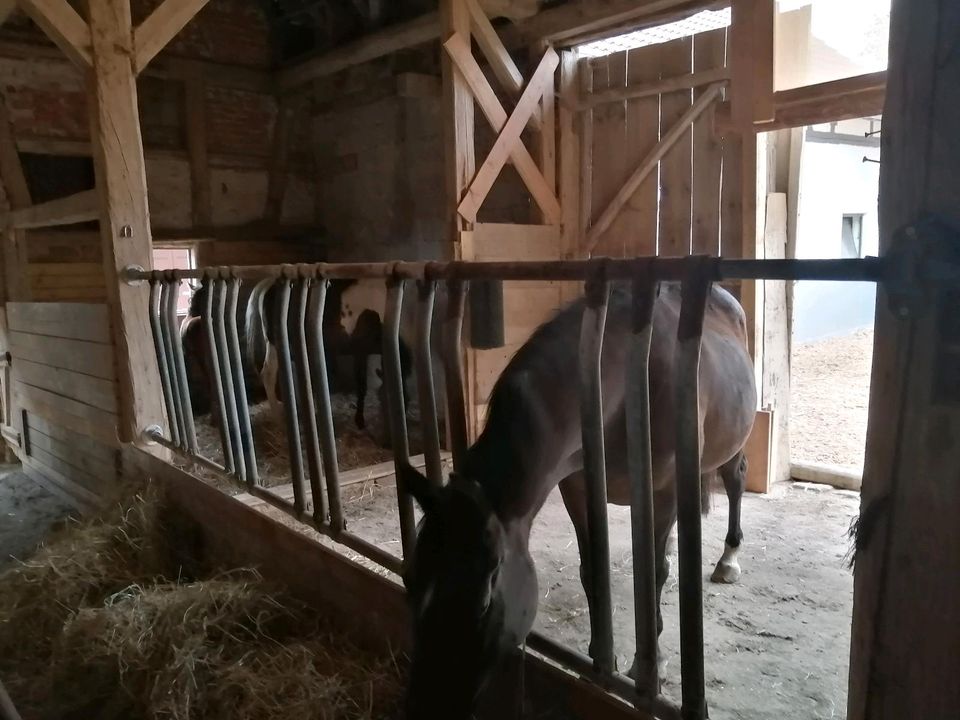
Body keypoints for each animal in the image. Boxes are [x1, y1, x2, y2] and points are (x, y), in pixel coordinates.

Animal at [398, 282, 756, 720]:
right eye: (409, 579)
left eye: (482, 604)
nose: (421, 710)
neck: (629, 391)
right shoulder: (578, 488)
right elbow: (593, 571)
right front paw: (599, 657)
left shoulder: (666, 491)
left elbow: (655, 573)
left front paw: (647, 666)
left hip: (729, 444)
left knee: (735, 478)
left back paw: (728, 558)